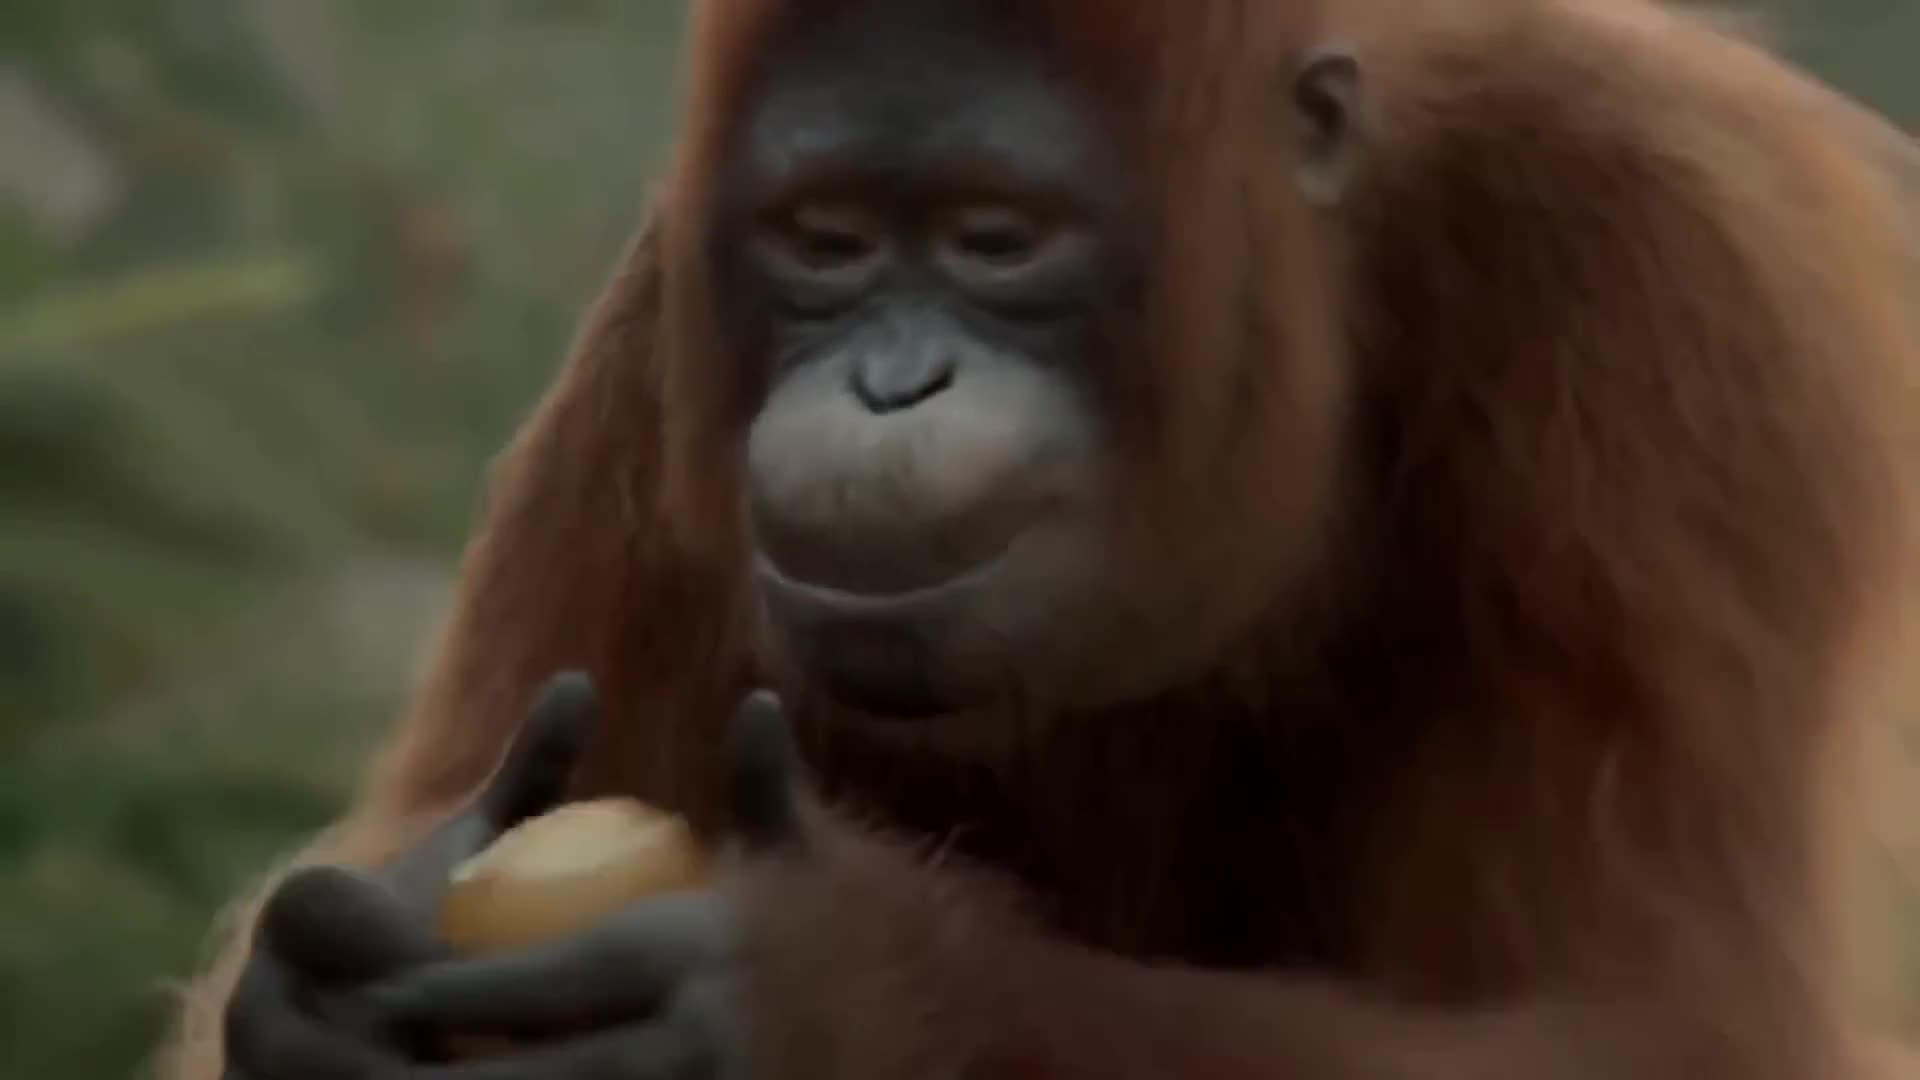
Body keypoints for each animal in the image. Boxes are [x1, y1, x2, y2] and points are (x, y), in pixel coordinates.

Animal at [169, 0, 1920, 1078]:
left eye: (999, 241)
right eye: (826, 243)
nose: (890, 384)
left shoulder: (1670, 289)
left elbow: (1667, 1025)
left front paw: (835, 985)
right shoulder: (652, 353)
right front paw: (314, 987)